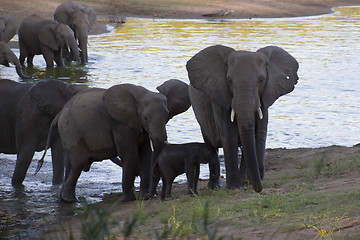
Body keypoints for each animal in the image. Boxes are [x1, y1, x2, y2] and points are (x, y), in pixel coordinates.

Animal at [40, 79, 190, 202]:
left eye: (167, 115)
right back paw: (70, 200)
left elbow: (146, 155)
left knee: (71, 164)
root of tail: (59, 114)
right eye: (145, 118)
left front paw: (142, 197)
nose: (150, 196)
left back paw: (63, 198)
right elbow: (129, 154)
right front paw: (128, 199)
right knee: (79, 162)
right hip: (70, 129)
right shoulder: (121, 124)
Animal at [187, 44, 300, 191]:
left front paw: (248, 182)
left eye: (261, 80)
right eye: (229, 80)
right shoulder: (221, 97)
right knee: (211, 144)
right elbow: (230, 135)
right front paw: (236, 187)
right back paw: (216, 186)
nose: (259, 188)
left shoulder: (264, 98)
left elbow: (259, 133)